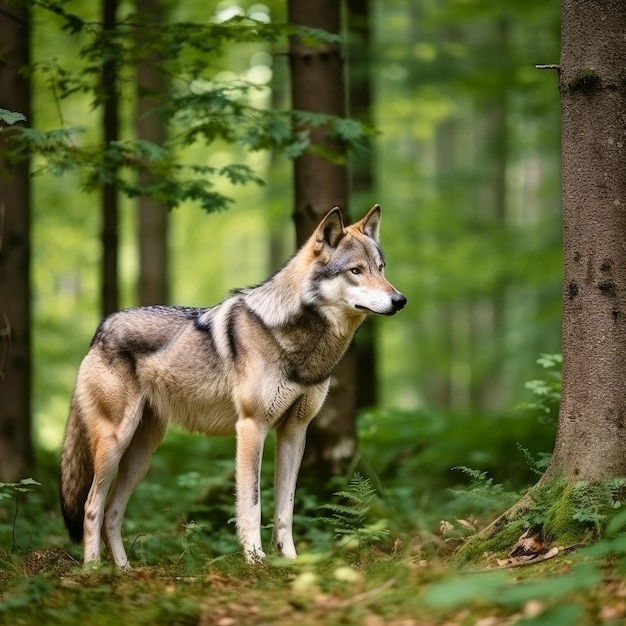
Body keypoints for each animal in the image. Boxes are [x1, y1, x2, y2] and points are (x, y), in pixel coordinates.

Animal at [59, 205, 404, 564]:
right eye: (356, 271)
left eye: (380, 268)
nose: (400, 300)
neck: (298, 343)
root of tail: (101, 328)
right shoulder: (252, 427)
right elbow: (252, 504)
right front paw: (256, 560)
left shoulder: (295, 431)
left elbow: (285, 508)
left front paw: (290, 561)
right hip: (115, 443)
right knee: (91, 506)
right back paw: (94, 569)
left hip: (141, 457)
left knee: (112, 513)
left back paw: (124, 571)